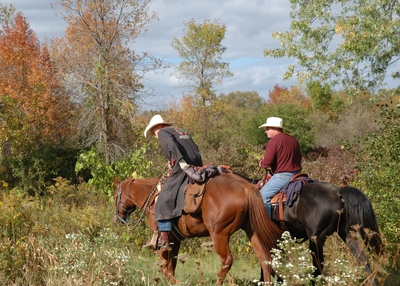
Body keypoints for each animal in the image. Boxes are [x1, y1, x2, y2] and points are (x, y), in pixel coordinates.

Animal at [111, 171, 282, 284]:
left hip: (219, 235)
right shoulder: (175, 240)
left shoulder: (161, 239)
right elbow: (171, 266)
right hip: (252, 231)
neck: (153, 198)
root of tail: (246, 188)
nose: (117, 220)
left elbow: (164, 268)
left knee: (227, 261)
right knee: (265, 259)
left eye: (114, 196)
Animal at [239, 174, 382, 284]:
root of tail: (338, 193)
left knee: (318, 266)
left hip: (316, 239)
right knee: (362, 259)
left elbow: (265, 260)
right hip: (347, 234)